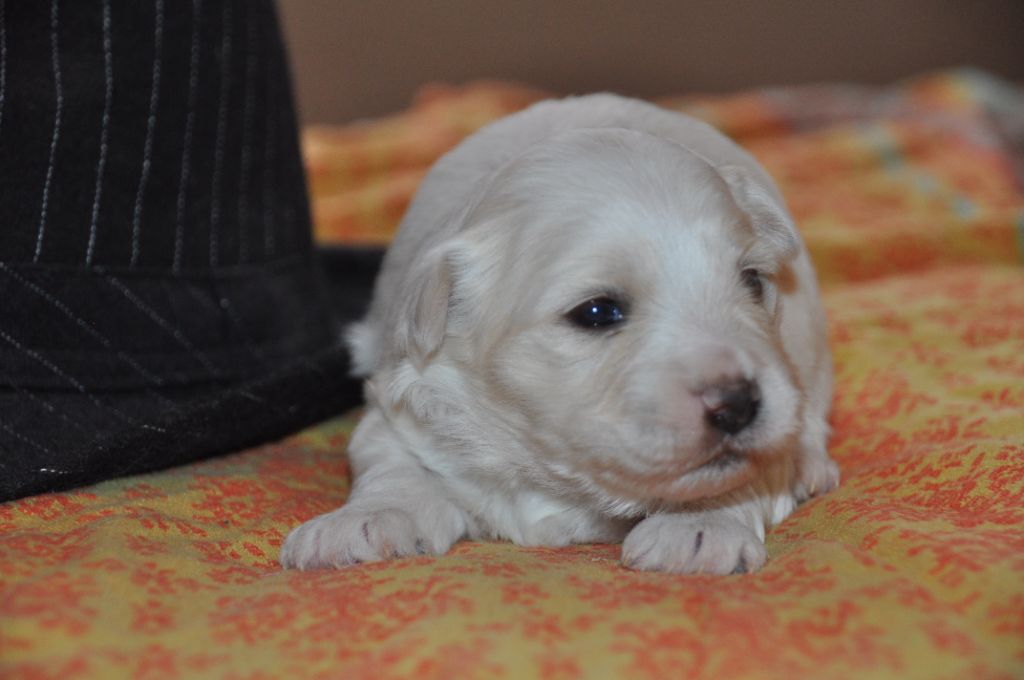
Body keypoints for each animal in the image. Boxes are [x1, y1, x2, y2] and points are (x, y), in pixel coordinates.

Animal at [276, 94, 835, 573]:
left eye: (752, 281)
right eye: (597, 312)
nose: (738, 405)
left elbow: (744, 469)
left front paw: (697, 529)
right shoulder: (398, 404)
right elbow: (392, 467)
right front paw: (361, 524)